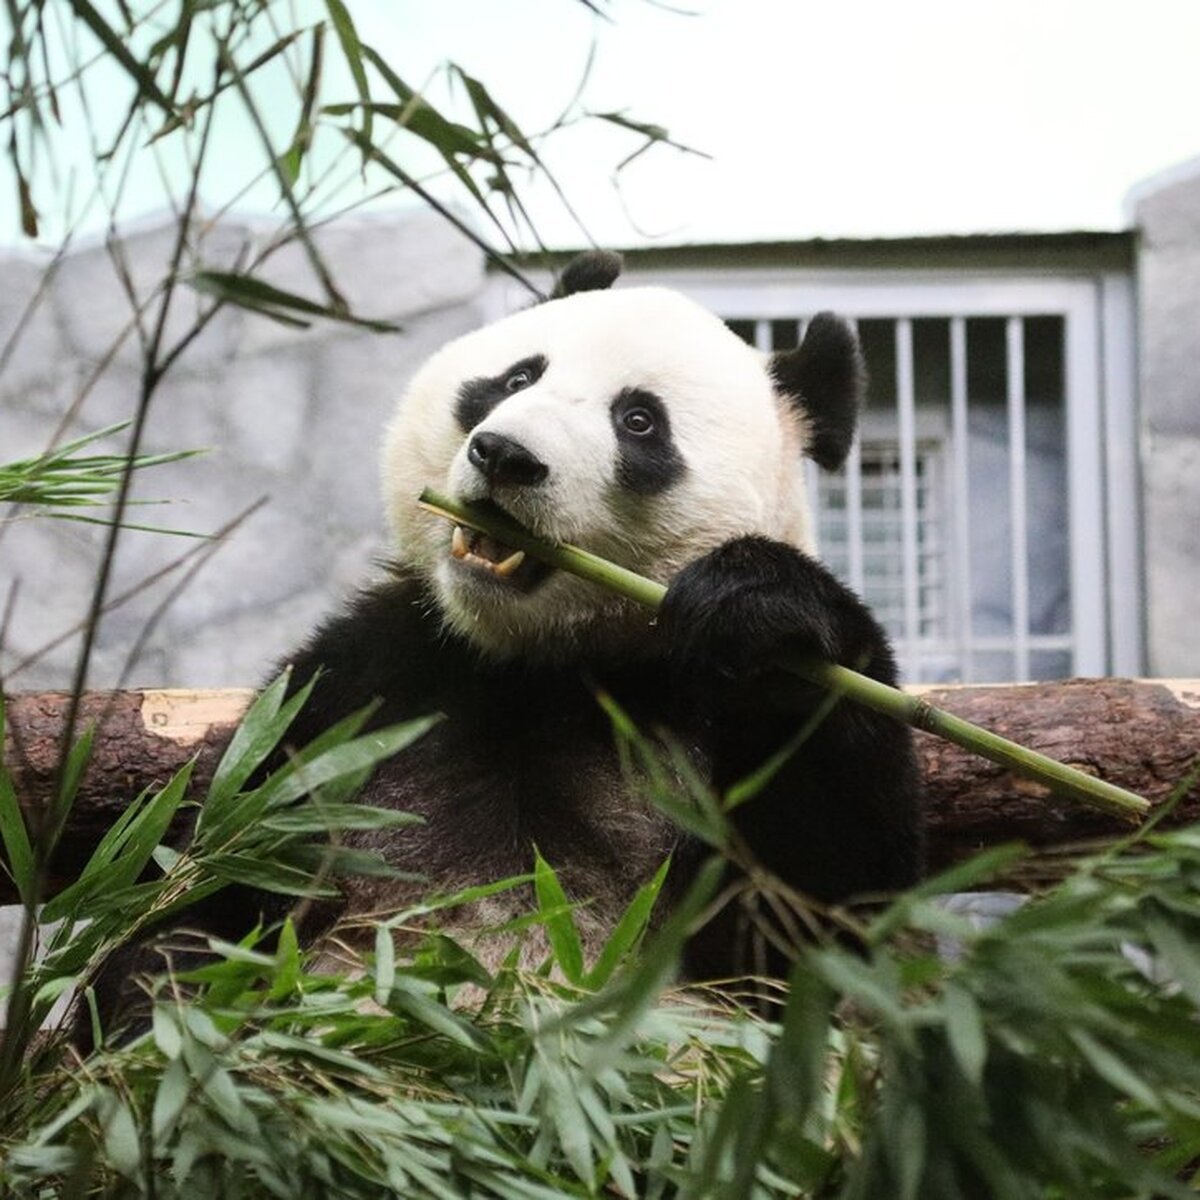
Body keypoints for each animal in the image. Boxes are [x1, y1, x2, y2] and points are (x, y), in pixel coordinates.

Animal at [96, 253, 916, 1032]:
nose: (504, 454)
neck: (539, 663)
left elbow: (810, 925)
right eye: (519, 376)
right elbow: (211, 872)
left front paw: (761, 601)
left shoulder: (693, 706)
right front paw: (166, 999)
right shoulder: (362, 686)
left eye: (639, 421)